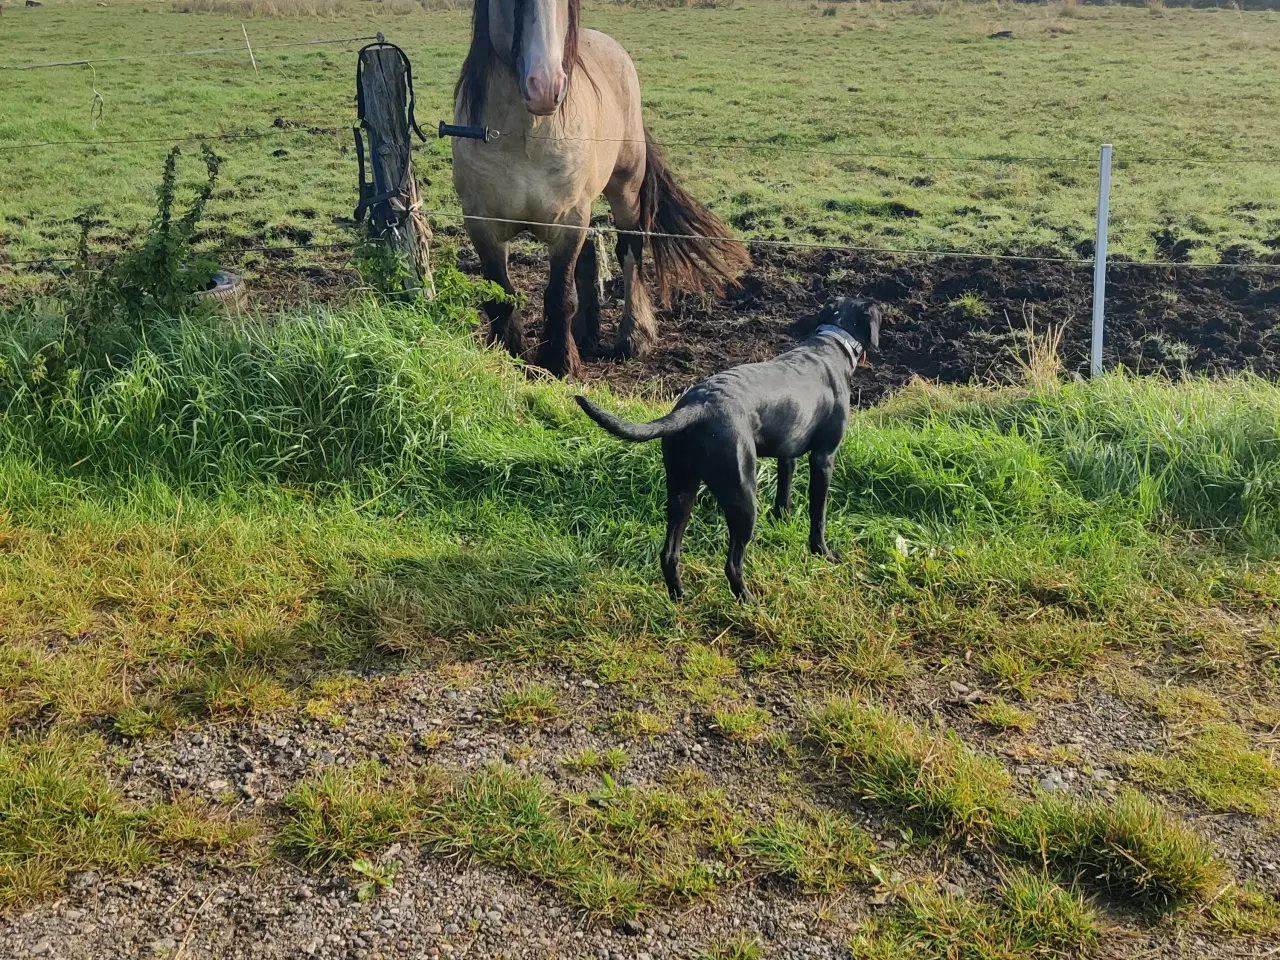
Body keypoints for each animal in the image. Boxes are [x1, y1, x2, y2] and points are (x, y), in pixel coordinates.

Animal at [453, 0, 747, 378]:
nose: (545, 87)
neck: (524, 136)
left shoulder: (570, 219)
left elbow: (559, 295)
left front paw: (561, 362)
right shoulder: (482, 223)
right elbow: (500, 296)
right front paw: (512, 356)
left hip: (625, 192)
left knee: (630, 251)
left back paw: (634, 336)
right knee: (590, 255)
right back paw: (586, 333)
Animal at [578, 300, 880, 601]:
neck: (832, 341)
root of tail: (698, 407)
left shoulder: (787, 454)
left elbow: (784, 495)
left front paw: (783, 523)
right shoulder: (824, 458)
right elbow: (819, 515)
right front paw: (822, 552)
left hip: (681, 490)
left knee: (670, 553)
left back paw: (680, 597)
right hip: (743, 496)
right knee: (733, 564)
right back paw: (749, 600)